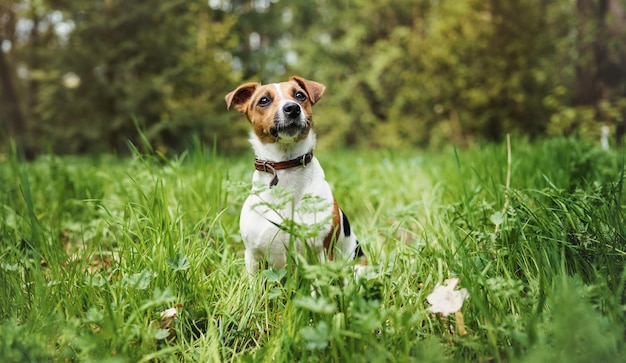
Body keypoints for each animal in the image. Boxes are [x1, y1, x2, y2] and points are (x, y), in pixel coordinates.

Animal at [224, 75, 364, 274]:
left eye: (300, 95)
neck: (286, 166)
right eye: (264, 100)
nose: (292, 108)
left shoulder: (322, 252)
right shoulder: (253, 256)